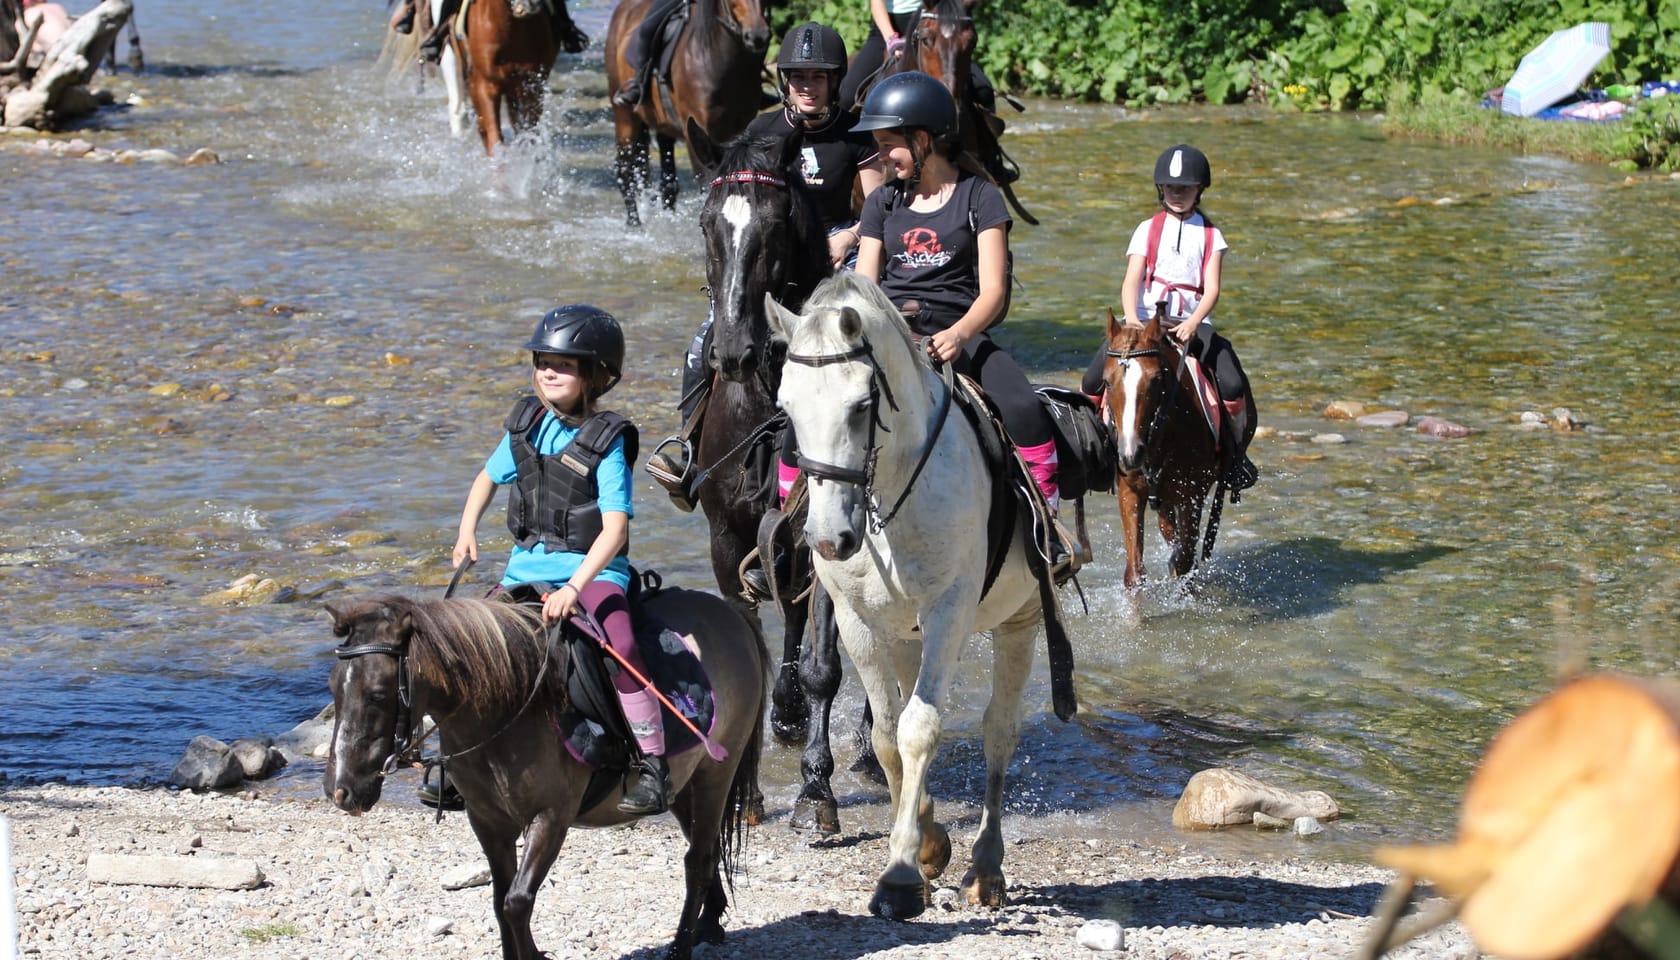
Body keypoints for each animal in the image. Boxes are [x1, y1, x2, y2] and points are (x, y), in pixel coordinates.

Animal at [322, 588, 769, 960]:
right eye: (332, 688)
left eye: (377, 695)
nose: (340, 790)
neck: (505, 708)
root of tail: (728, 611)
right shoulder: (487, 820)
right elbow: (500, 899)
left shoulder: (551, 817)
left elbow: (517, 901)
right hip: (683, 785)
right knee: (704, 847)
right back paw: (708, 923)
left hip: (716, 773)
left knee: (697, 858)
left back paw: (680, 946)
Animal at [608, 0, 769, 226]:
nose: (758, 36)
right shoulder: (697, 133)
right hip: (625, 117)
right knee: (625, 169)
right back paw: (634, 224)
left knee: (666, 177)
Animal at [682, 126, 866, 833]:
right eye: (708, 224)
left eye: (775, 227)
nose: (732, 352)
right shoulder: (727, 539)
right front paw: (750, 791)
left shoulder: (829, 542)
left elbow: (823, 665)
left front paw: (817, 790)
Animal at [766, 272, 1075, 921]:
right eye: (787, 408)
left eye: (861, 406)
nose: (829, 538)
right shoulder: (857, 621)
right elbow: (887, 736)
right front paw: (926, 846)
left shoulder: (948, 613)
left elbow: (921, 729)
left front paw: (902, 876)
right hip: (903, 636)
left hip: (1018, 622)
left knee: (998, 730)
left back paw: (986, 869)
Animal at [1095, 307, 1243, 622]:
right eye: (1107, 382)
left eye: (1155, 380)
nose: (1130, 454)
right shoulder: (1129, 491)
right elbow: (1135, 572)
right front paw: (1135, 622)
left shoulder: (1192, 493)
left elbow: (1184, 559)